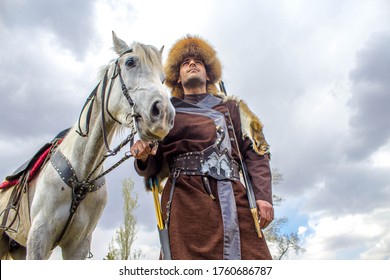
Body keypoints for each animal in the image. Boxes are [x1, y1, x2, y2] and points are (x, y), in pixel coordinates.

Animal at [0, 31, 175, 260]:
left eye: (163, 79)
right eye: (130, 62)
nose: (163, 114)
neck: (82, 175)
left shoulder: (78, 245)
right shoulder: (39, 237)